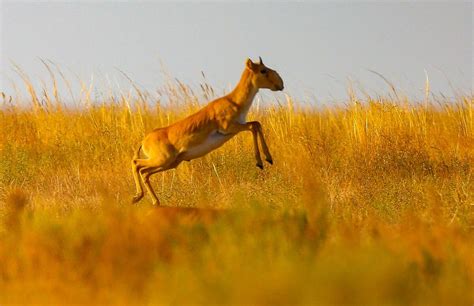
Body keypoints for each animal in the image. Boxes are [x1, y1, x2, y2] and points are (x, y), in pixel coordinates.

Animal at [131, 57, 284, 206]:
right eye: (263, 70)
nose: (281, 84)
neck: (233, 101)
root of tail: (144, 141)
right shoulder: (229, 128)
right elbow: (254, 126)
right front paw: (262, 161)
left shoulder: (237, 127)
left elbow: (256, 124)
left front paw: (267, 159)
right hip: (162, 160)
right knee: (136, 164)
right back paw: (137, 196)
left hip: (170, 163)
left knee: (145, 173)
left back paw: (153, 201)